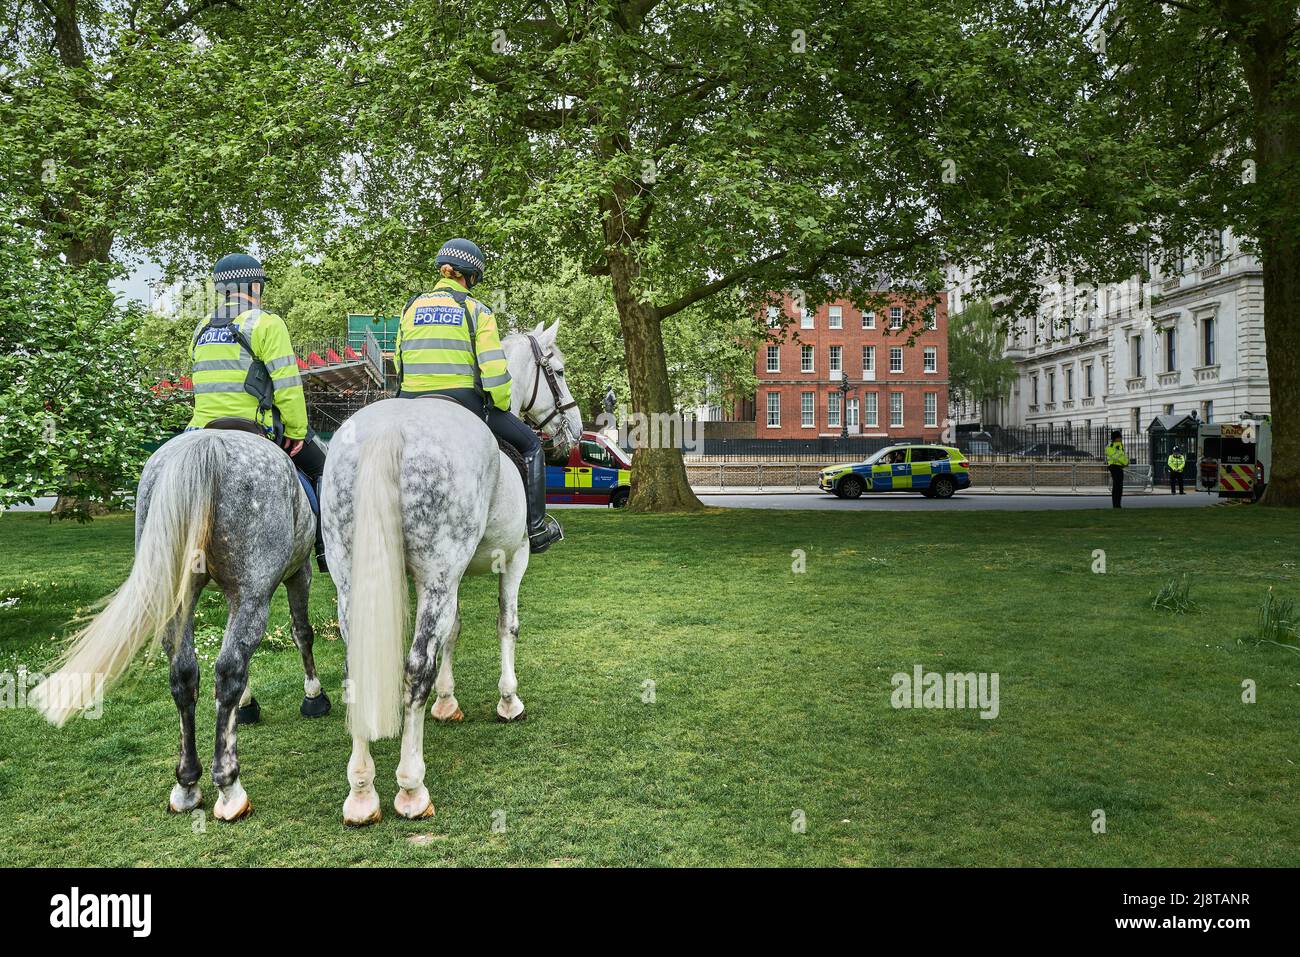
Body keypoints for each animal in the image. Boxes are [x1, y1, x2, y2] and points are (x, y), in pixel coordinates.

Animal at [30, 429, 327, 816]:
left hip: (179, 598)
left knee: (184, 674)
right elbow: (301, 632)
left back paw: (187, 782)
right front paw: (314, 695)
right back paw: (228, 785)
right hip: (253, 592)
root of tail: (209, 445)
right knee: (229, 669)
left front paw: (247, 704)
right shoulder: (298, 572)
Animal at [325, 319, 585, 821]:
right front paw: (508, 700)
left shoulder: (450, 576)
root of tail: (390, 429)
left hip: (355, 573)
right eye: (559, 371)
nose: (576, 430)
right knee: (414, 669)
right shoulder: (514, 557)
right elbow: (506, 624)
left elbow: (454, 630)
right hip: (440, 571)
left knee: (356, 664)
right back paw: (410, 787)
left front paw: (447, 702)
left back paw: (361, 793)